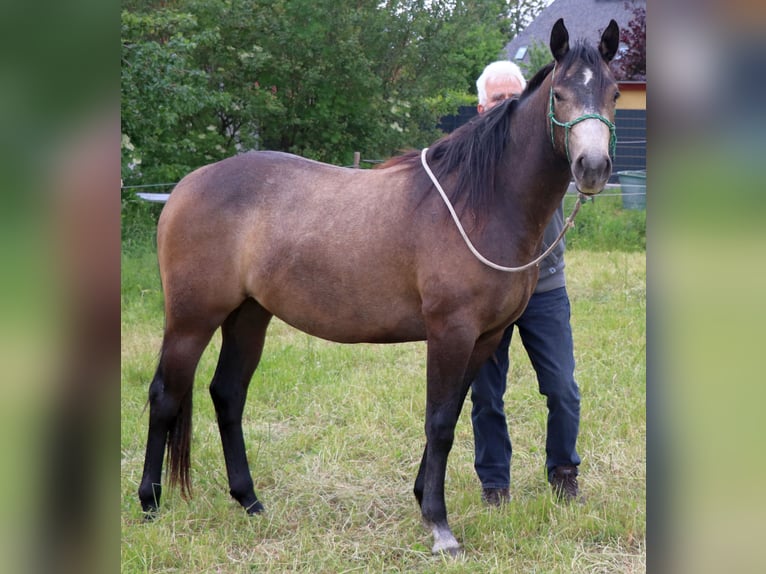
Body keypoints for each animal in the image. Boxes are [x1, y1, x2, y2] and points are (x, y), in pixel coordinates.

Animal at [136, 19, 616, 560]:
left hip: (248, 314)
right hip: (192, 319)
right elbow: (439, 423)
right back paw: (150, 503)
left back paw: (250, 501)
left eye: (614, 93)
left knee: (228, 394)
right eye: (559, 94)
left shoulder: (486, 337)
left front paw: (423, 499)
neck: (482, 200)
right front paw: (439, 526)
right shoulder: (449, 332)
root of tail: (184, 188)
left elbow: (450, 416)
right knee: (165, 395)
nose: (592, 167)